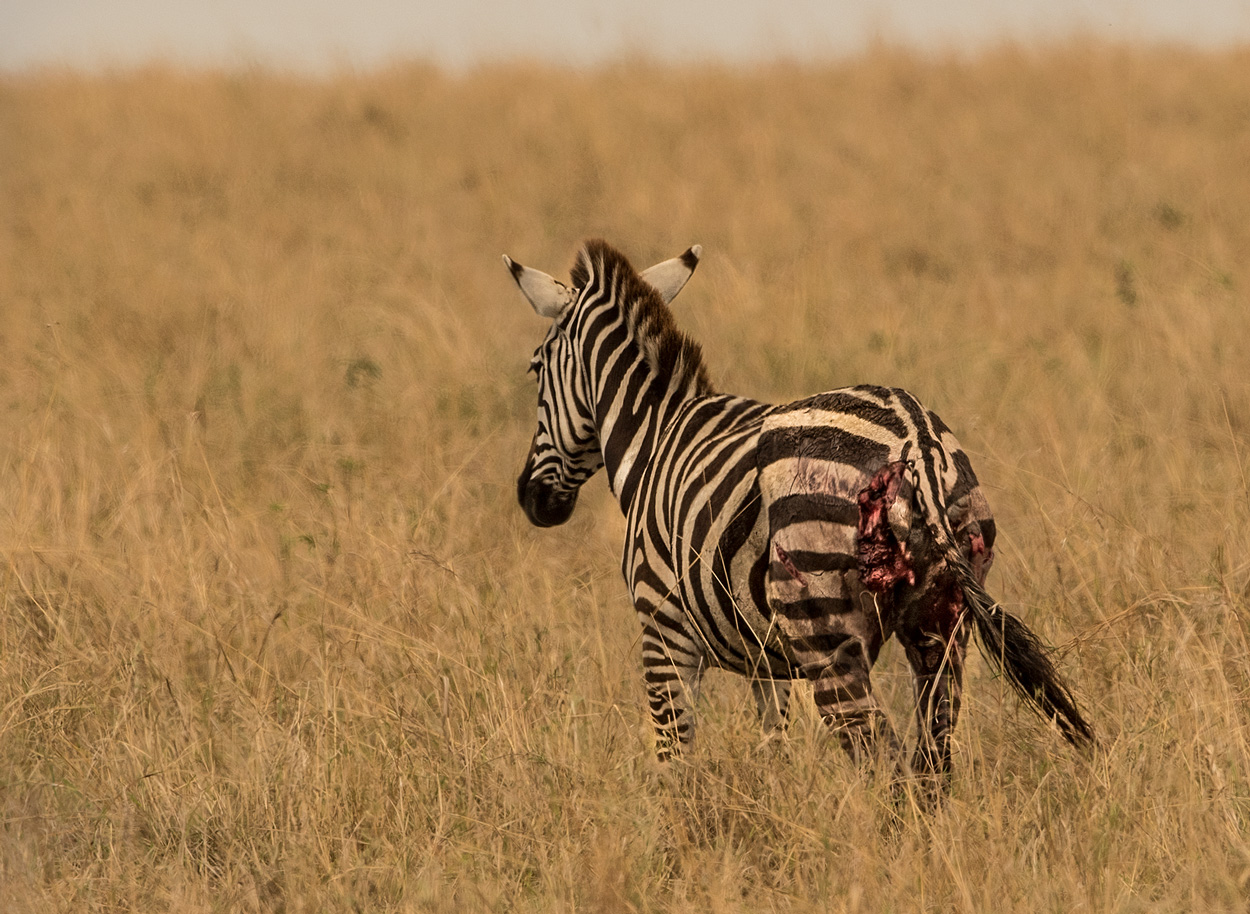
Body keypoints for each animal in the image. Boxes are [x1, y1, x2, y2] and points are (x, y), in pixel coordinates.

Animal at [502, 236, 1090, 780]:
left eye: (534, 370)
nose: (532, 500)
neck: (655, 435)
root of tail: (915, 440)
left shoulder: (663, 630)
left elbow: (674, 764)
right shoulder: (766, 661)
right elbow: (773, 749)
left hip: (827, 637)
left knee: (886, 764)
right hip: (942, 623)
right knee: (932, 762)